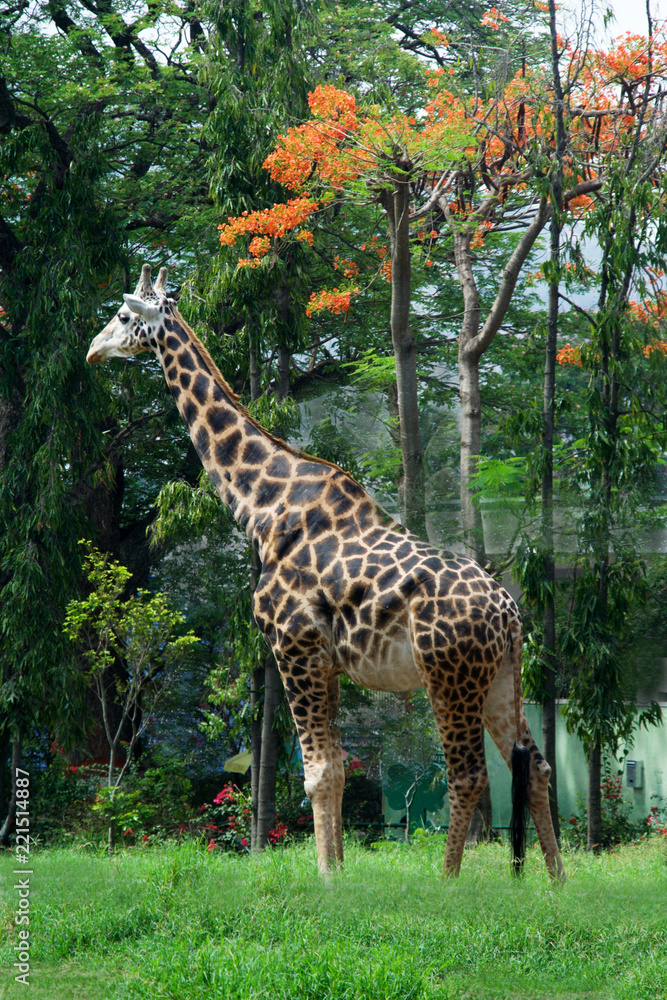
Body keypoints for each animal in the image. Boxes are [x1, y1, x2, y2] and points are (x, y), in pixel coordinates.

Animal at [87, 265, 565, 880]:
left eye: (123, 316)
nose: (94, 349)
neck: (262, 507)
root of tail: (509, 616)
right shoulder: (326, 661)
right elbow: (334, 769)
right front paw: (337, 870)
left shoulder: (293, 646)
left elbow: (316, 774)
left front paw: (328, 878)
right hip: (502, 677)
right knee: (537, 767)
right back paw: (556, 881)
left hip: (448, 676)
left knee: (468, 774)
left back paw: (448, 881)